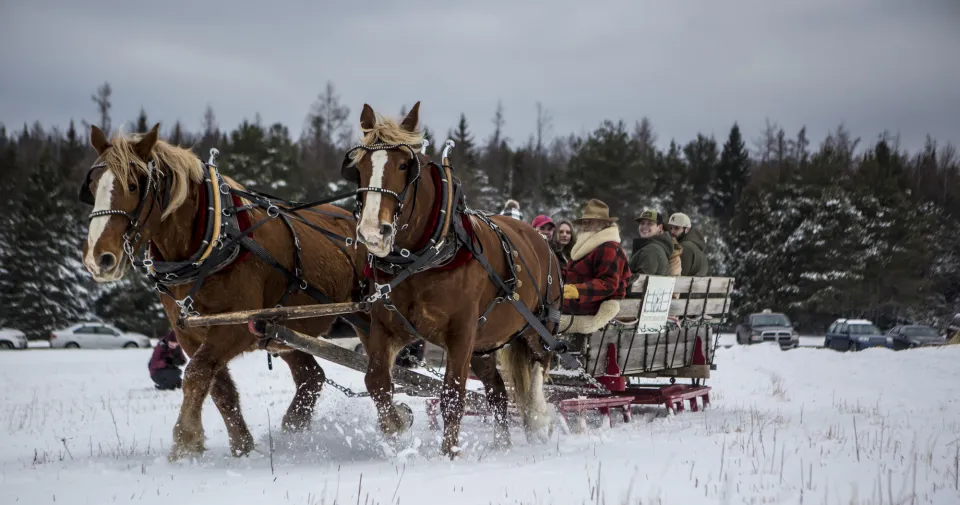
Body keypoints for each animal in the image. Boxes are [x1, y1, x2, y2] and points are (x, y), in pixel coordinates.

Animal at [78, 123, 366, 461]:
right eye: (92, 185)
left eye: (134, 185)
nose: (99, 258)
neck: (215, 238)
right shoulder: (189, 333)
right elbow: (218, 388)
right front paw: (242, 447)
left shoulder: (237, 326)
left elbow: (196, 374)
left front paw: (185, 442)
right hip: (286, 331)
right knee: (312, 377)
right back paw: (293, 431)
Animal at [341, 102, 565, 457]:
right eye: (359, 166)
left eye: (404, 165)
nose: (373, 232)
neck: (425, 258)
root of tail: (541, 240)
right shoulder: (388, 328)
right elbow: (376, 381)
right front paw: (397, 423)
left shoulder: (461, 333)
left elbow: (452, 395)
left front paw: (449, 454)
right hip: (485, 344)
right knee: (497, 392)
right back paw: (502, 445)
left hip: (538, 329)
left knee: (537, 375)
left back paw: (538, 423)